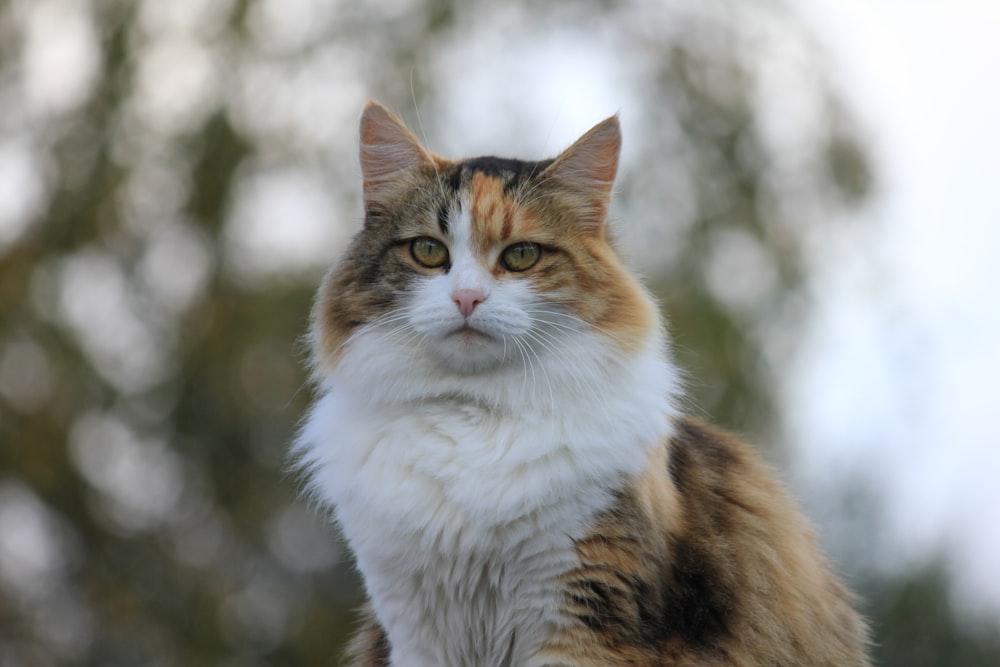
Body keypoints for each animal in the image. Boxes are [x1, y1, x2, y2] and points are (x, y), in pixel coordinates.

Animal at [292, 100, 872, 667]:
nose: (466, 298)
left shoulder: (585, 616)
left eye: (521, 256)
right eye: (429, 252)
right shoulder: (415, 628)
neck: (475, 415)